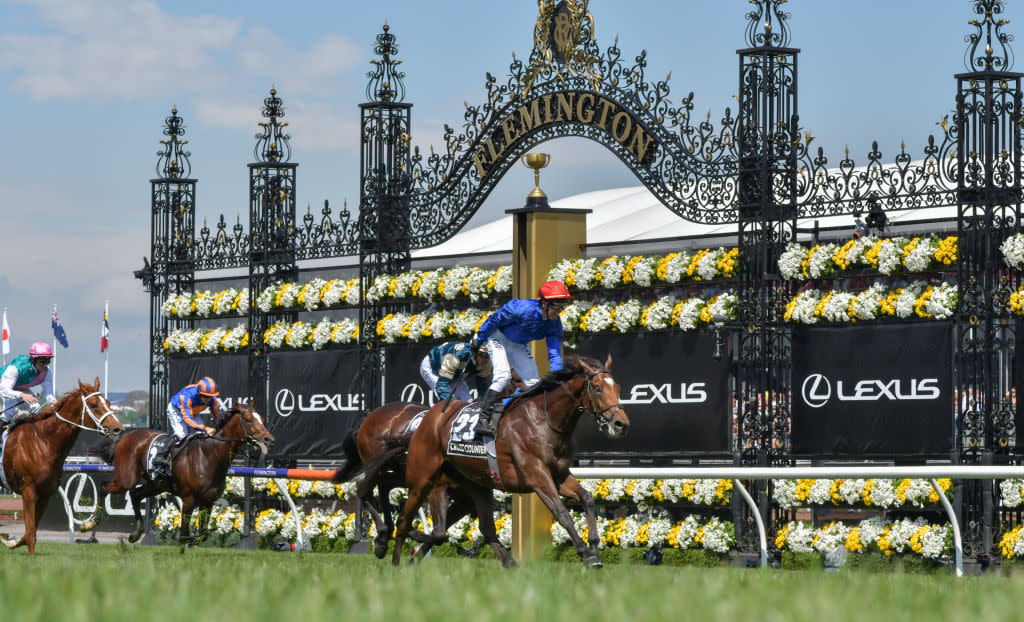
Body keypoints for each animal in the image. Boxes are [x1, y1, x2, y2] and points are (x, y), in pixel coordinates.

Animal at [0, 377, 122, 557]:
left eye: (107, 402)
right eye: (93, 405)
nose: (118, 429)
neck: (43, 442)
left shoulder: (45, 494)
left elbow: (31, 530)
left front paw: (10, 541)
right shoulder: (28, 490)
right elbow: (30, 531)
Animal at [86, 403, 274, 549]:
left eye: (262, 419)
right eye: (249, 420)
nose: (269, 439)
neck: (208, 456)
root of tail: (126, 436)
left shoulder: (208, 502)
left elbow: (202, 534)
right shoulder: (189, 500)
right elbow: (184, 533)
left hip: (157, 485)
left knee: (135, 494)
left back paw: (136, 533)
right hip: (126, 479)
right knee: (104, 487)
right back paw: (90, 523)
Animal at [389, 352, 630, 565]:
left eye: (617, 388)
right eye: (597, 388)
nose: (621, 424)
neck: (544, 419)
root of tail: (427, 418)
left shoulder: (559, 475)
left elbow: (587, 499)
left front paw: (594, 546)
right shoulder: (537, 475)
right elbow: (561, 513)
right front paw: (584, 553)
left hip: (474, 485)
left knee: (478, 528)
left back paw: (508, 562)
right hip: (423, 480)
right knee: (405, 522)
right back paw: (396, 562)